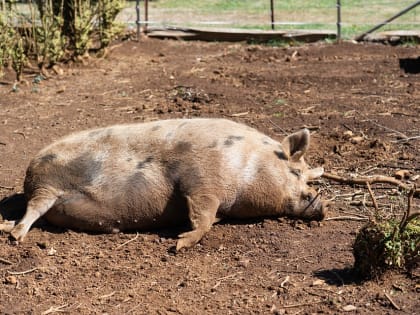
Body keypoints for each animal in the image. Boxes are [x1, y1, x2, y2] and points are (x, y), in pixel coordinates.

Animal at [0, 119, 324, 252]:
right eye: (296, 171)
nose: (321, 205)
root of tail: (29, 174)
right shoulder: (201, 178)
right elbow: (203, 216)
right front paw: (179, 244)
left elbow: (209, 218)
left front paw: (180, 239)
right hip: (46, 184)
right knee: (32, 210)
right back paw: (16, 237)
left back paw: (8, 229)